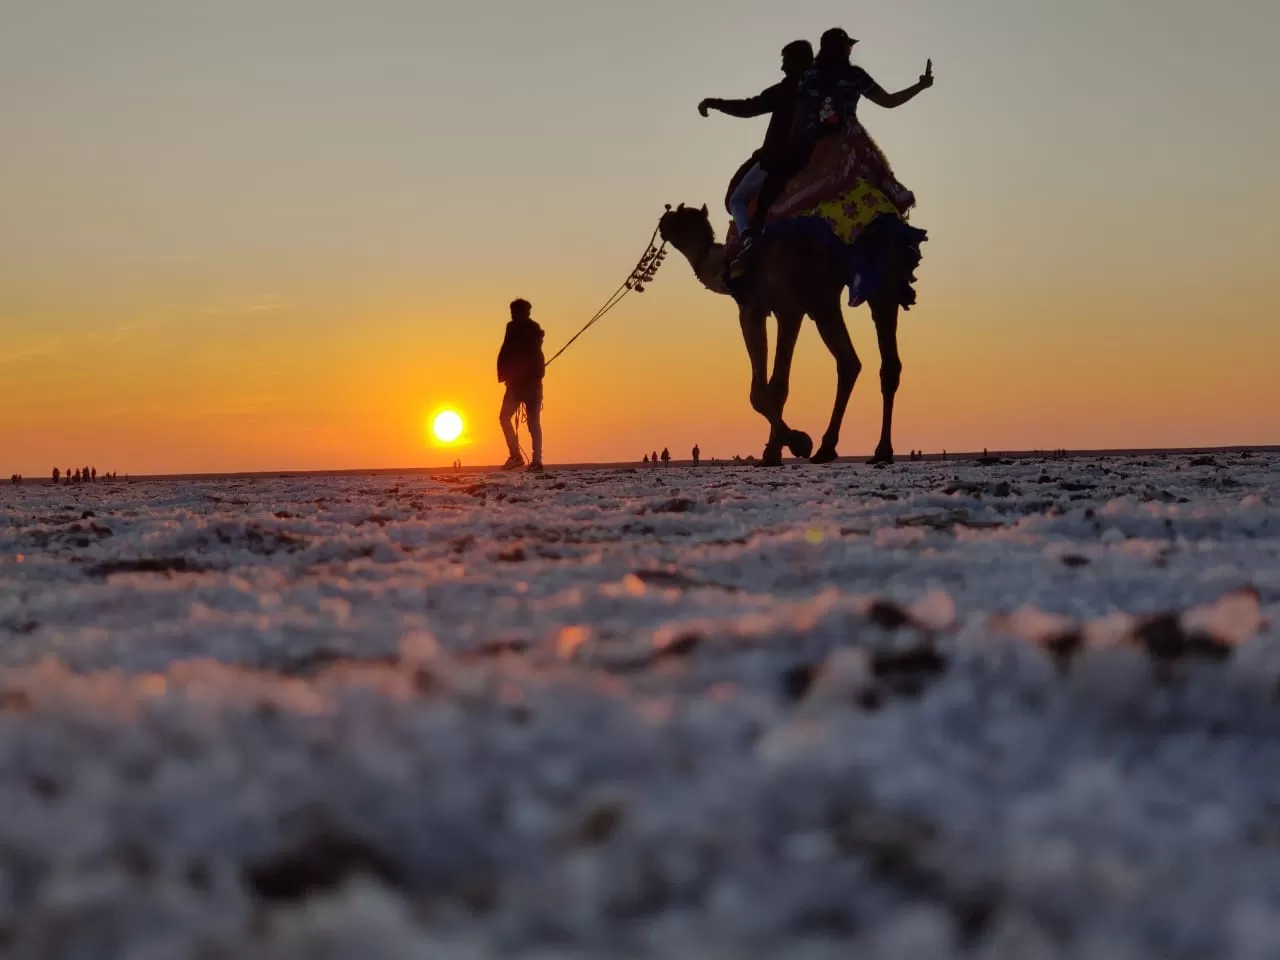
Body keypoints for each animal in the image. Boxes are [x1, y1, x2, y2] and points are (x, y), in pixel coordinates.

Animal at [660, 204, 921, 468]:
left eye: (678, 218)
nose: (662, 223)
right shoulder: (793, 307)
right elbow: (778, 385)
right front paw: (775, 451)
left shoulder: (763, 307)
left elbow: (765, 389)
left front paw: (795, 442)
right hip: (871, 284)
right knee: (875, 364)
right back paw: (871, 450)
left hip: (822, 291)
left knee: (854, 362)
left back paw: (836, 448)